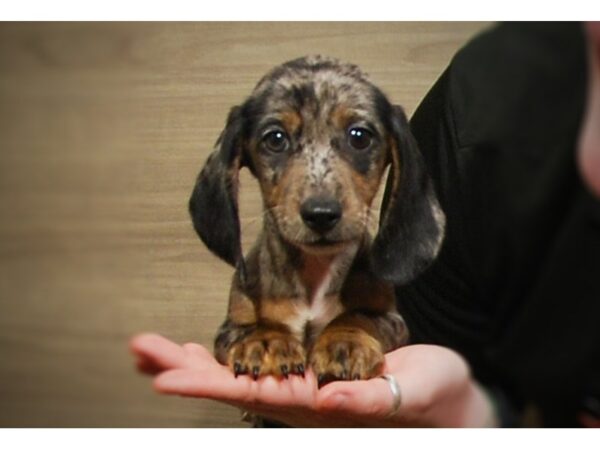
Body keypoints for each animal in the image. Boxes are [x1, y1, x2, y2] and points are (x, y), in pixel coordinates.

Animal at [190, 55, 442, 386]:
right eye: (275, 139)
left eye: (359, 136)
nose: (321, 214)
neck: (315, 275)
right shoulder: (230, 326)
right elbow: (255, 326)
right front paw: (267, 340)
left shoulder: (392, 320)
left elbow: (358, 316)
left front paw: (345, 340)